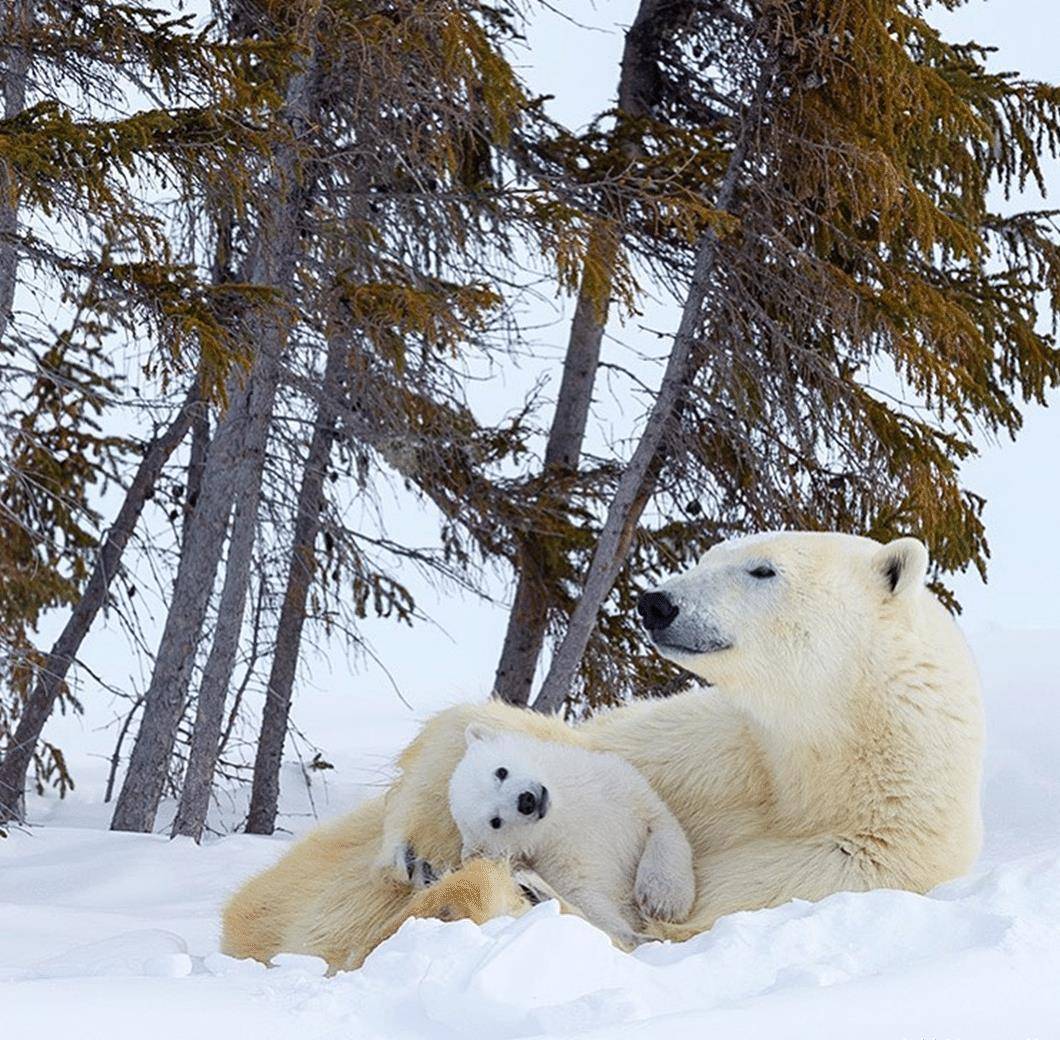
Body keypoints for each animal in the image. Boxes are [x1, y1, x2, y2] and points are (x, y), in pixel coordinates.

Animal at [438, 720, 695, 941]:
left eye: (501, 772)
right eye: (495, 821)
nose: (527, 801)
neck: (564, 812)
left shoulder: (613, 786)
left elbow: (660, 823)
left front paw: (662, 900)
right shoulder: (561, 857)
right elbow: (586, 897)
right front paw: (637, 932)